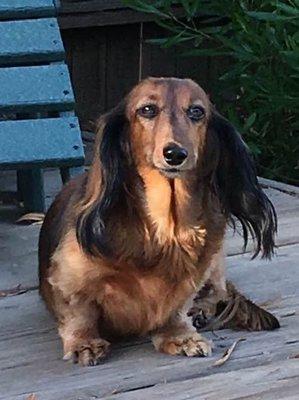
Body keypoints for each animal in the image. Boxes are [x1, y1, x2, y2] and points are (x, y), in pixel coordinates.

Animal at [38, 77, 280, 366]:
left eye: (196, 111)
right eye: (147, 110)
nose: (175, 154)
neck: (166, 229)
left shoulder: (193, 274)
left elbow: (177, 306)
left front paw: (180, 335)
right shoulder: (68, 277)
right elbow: (80, 311)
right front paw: (84, 343)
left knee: (218, 292)